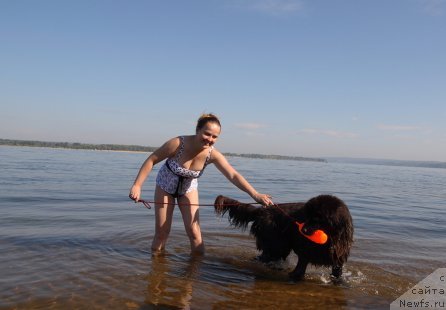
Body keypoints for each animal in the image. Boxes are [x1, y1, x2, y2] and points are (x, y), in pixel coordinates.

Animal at [214, 196, 354, 280]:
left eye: (317, 219)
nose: (303, 230)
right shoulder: (304, 252)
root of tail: (262, 210)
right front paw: (295, 277)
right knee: (265, 257)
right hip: (276, 244)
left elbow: (337, 272)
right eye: (306, 217)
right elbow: (300, 268)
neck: (331, 238)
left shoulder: (339, 256)